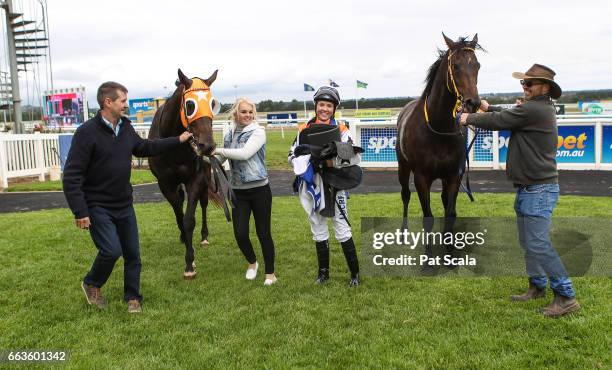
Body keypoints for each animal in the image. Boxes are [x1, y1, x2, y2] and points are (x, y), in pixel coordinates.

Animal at [149, 68, 222, 278]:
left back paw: (204, 236)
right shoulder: (165, 184)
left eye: (212, 104)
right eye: (190, 105)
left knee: (203, 204)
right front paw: (186, 245)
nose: (208, 146)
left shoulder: (196, 178)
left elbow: (189, 219)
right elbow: (179, 214)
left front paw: (190, 262)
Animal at [396, 34, 482, 237]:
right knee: (405, 194)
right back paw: (403, 231)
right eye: (456, 66)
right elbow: (427, 217)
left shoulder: (454, 175)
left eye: (477, 65)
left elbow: (450, 212)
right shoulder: (421, 177)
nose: (473, 103)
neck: (439, 128)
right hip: (403, 166)